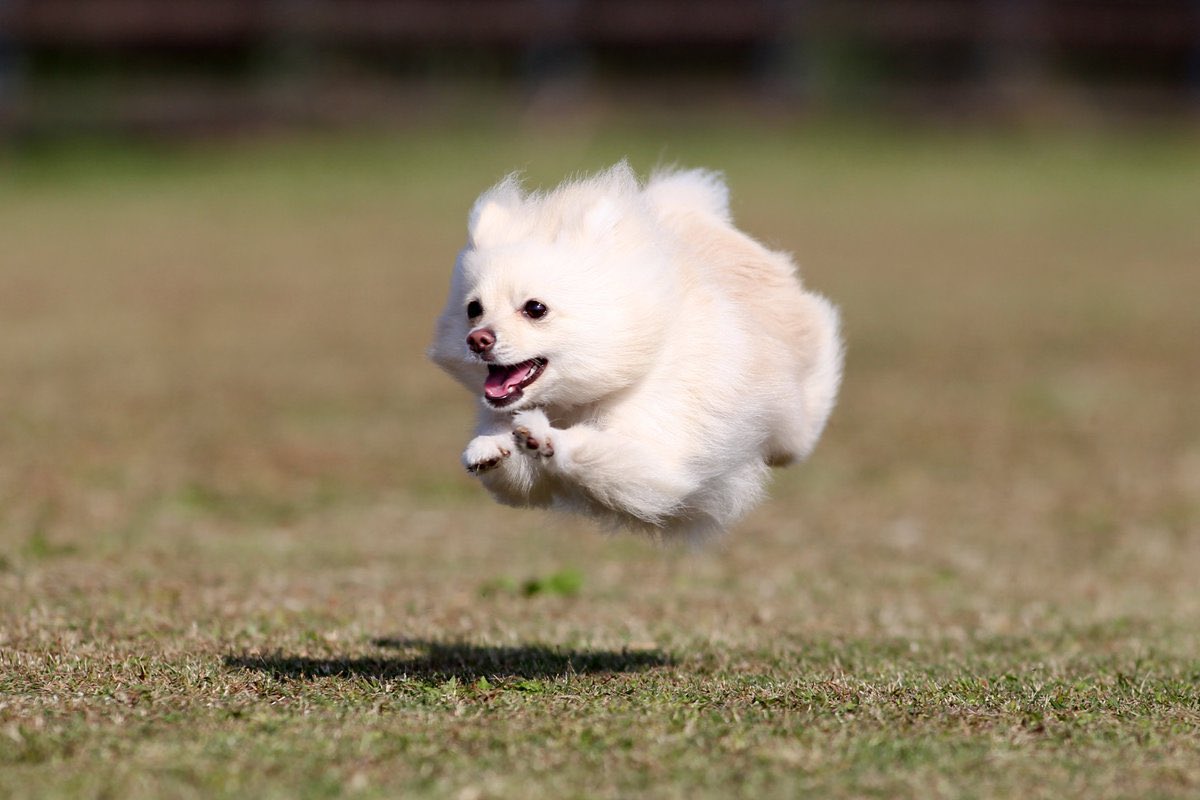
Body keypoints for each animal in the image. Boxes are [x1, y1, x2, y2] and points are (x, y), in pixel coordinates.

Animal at [432, 161, 844, 537]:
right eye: (474, 309)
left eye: (535, 309)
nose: (478, 339)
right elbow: (516, 471)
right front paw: (490, 447)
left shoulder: (662, 457)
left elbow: (598, 452)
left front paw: (544, 438)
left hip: (795, 427)